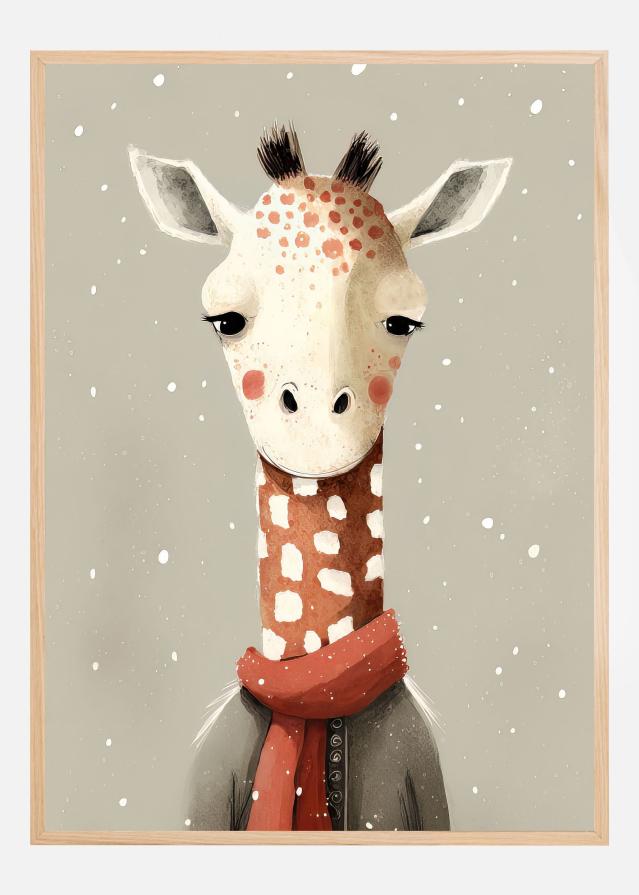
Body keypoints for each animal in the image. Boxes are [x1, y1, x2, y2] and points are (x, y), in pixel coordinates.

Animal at [130, 126, 511, 831]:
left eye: (403, 320)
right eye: (226, 318)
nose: (313, 419)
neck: (316, 693)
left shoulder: (427, 792)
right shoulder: (202, 802)